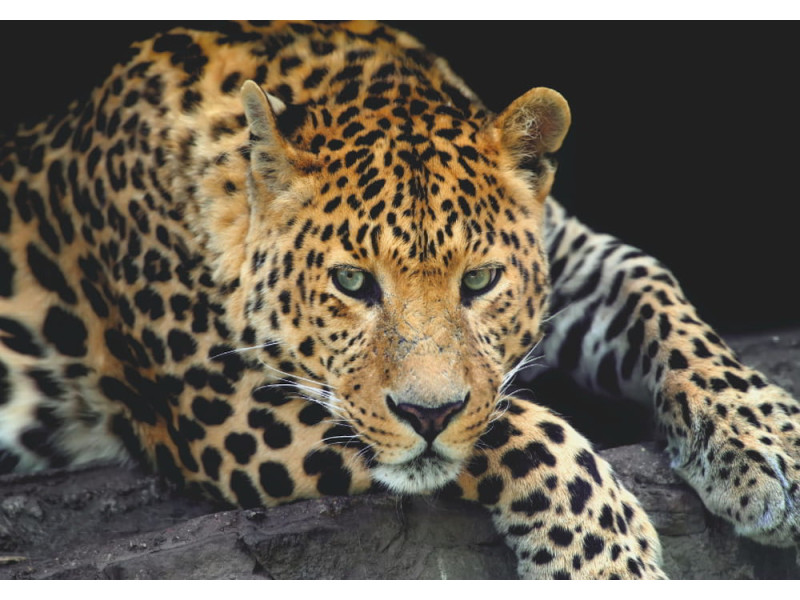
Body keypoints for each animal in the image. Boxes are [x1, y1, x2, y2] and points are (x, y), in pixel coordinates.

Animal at [1, 21, 798, 579]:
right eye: (353, 282)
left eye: (478, 281)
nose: (427, 414)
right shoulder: (223, 405)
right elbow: (513, 423)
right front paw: (608, 561)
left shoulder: (566, 257)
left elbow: (655, 288)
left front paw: (767, 439)